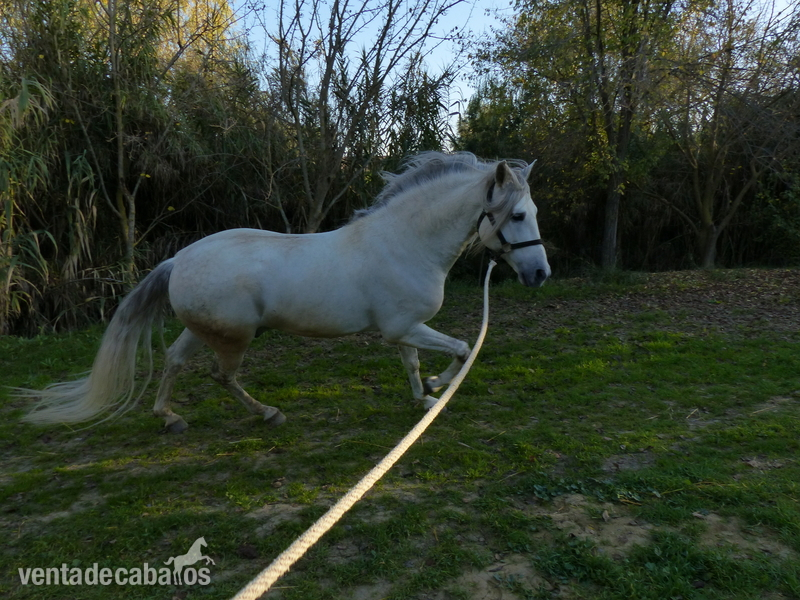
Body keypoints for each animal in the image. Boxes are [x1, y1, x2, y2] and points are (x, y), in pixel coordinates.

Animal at [20, 152, 550, 432]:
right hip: (234, 338)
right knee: (221, 376)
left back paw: (169, 417)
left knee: (173, 360)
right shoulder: (404, 327)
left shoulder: (403, 330)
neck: (406, 242)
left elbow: (414, 363)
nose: (541, 273)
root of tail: (178, 261)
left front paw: (424, 397)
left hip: (204, 330)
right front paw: (440, 388)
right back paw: (269, 413)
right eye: (518, 215)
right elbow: (460, 348)